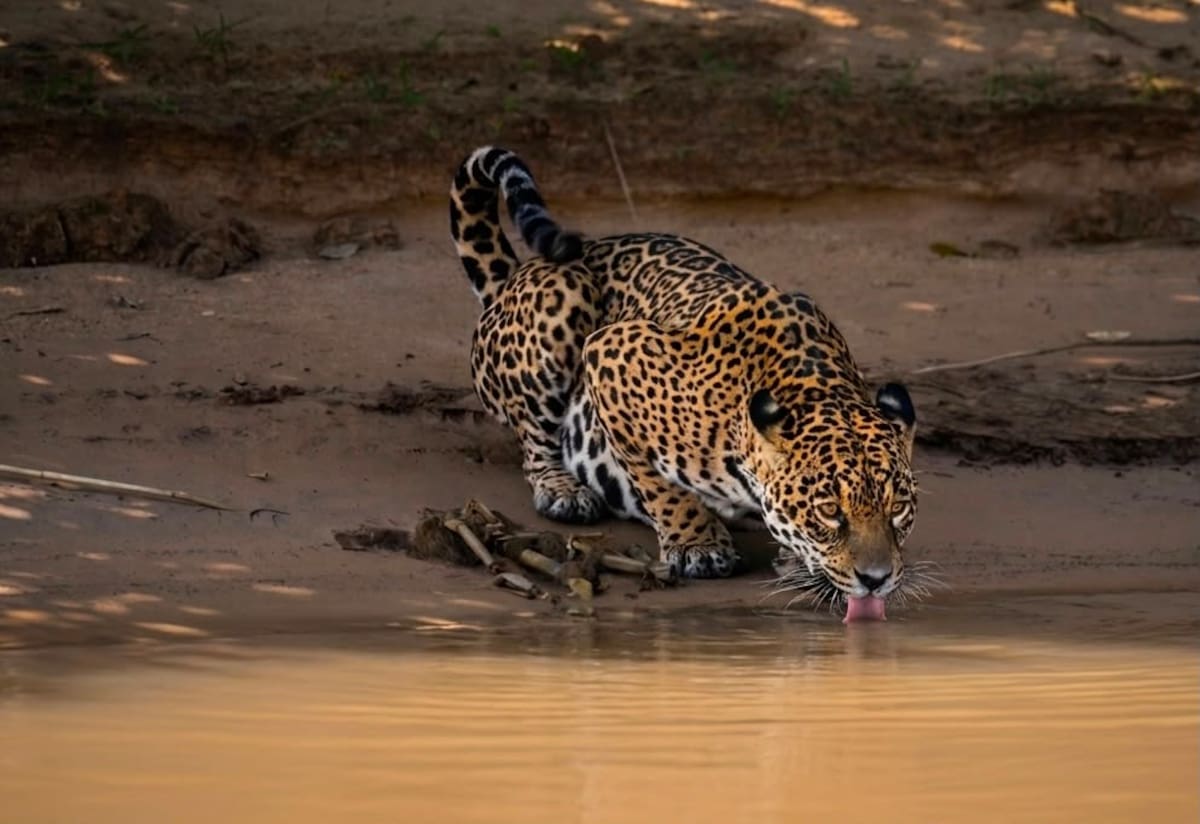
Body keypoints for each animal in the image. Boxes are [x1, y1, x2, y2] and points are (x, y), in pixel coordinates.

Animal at [450, 146, 919, 619]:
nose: (876, 580)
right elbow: (657, 483)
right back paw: (563, 489)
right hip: (563, 293)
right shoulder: (611, 351)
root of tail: (512, 279)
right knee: (534, 441)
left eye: (898, 508)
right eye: (828, 511)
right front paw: (697, 543)